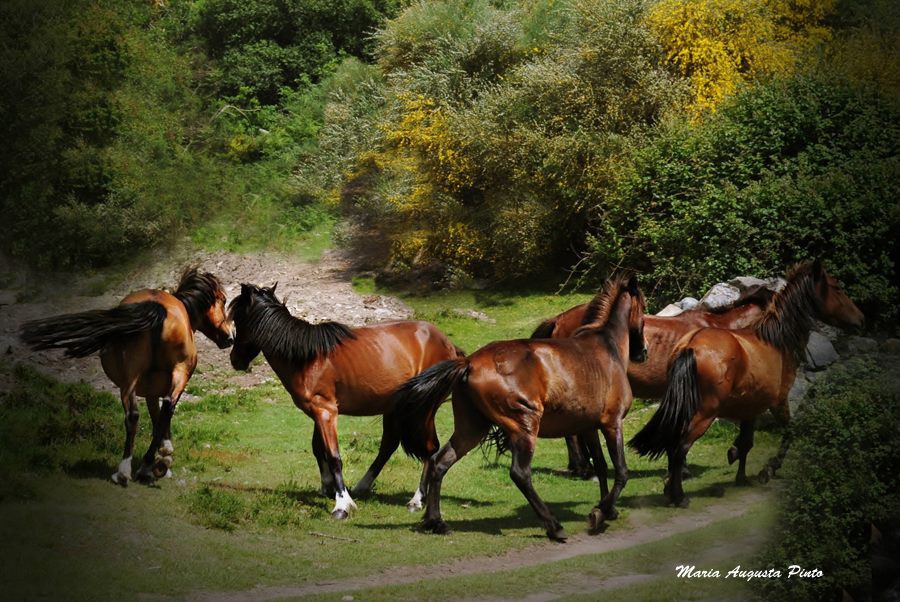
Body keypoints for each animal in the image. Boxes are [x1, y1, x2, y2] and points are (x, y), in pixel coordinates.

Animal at [21, 268, 234, 482]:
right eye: (223, 300)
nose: (230, 336)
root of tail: (158, 309)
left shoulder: (154, 389)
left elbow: (157, 417)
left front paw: (163, 456)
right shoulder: (153, 391)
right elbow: (159, 418)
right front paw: (164, 456)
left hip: (134, 377)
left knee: (138, 414)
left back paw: (129, 470)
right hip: (165, 374)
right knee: (164, 407)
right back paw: (143, 466)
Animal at [225, 284, 464, 516]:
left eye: (239, 320)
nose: (235, 360)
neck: (308, 358)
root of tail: (448, 345)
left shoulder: (326, 412)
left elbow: (334, 456)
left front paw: (342, 503)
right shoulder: (319, 412)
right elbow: (318, 448)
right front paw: (328, 488)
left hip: (423, 409)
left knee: (431, 448)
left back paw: (417, 499)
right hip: (395, 407)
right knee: (388, 446)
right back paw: (363, 486)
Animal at [394, 272, 648, 540]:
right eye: (644, 306)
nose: (644, 351)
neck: (607, 348)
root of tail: (469, 362)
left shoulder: (589, 426)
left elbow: (600, 465)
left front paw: (605, 510)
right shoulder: (613, 423)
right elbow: (621, 471)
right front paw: (602, 511)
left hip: (472, 428)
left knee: (440, 462)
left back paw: (436, 521)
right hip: (524, 426)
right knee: (520, 473)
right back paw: (554, 526)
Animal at [628, 258, 860, 506]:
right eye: (836, 288)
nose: (860, 319)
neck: (772, 341)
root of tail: (690, 347)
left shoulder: (750, 405)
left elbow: (747, 441)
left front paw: (738, 465)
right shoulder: (777, 402)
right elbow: (789, 432)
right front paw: (767, 469)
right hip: (703, 412)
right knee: (680, 446)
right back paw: (679, 495)